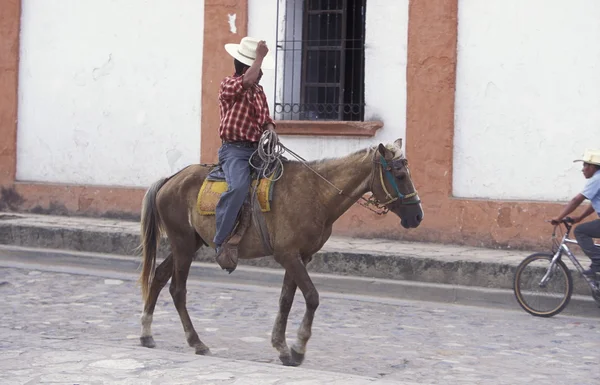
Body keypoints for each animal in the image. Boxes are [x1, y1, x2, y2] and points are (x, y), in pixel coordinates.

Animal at [138, 136, 424, 364]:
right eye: (400, 176)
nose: (418, 216)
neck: (316, 193)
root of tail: (170, 179)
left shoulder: (300, 257)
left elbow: (286, 299)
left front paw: (282, 346)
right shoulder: (287, 255)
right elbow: (312, 297)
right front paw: (298, 348)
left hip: (188, 243)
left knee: (159, 277)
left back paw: (146, 333)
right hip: (183, 244)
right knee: (177, 290)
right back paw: (196, 341)